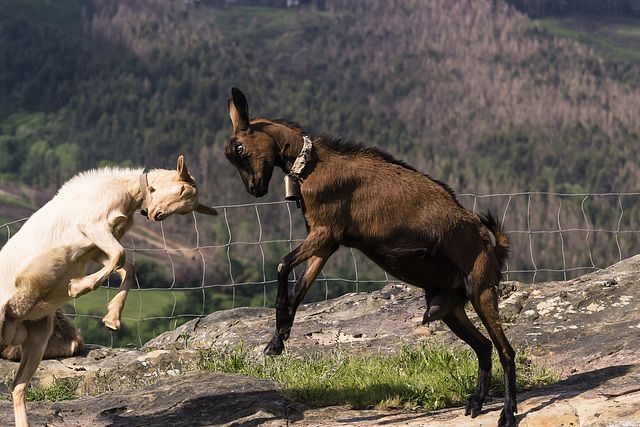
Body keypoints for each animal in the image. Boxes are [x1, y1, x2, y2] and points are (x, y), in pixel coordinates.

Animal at [0, 156, 218, 427]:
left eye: (187, 209)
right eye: (180, 190)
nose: (156, 214)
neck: (126, 190)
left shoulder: (95, 248)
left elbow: (127, 267)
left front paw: (112, 319)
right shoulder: (93, 225)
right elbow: (120, 255)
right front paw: (76, 287)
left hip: (38, 335)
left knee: (17, 387)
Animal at [228, 88, 516, 427]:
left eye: (240, 148)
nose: (254, 189)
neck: (311, 165)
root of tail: (492, 246)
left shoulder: (325, 231)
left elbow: (282, 265)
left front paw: (278, 338)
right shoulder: (326, 242)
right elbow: (298, 289)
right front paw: (277, 340)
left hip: (481, 289)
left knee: (506, 351)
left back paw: (507, 413)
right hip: (448, 307)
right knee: (484, 346)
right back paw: (476, 403)